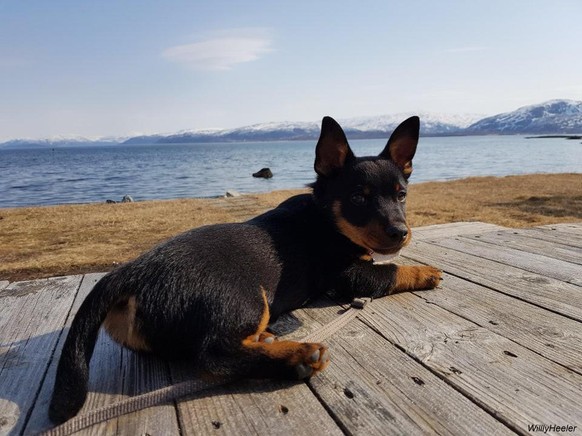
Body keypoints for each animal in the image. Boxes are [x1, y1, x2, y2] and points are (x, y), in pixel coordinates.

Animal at [49, 115, 442, 422]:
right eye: (358, 198)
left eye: (402, 195)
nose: (400, 232)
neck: (327, 218)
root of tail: (129, 274)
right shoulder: (347, 276)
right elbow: (392, 270)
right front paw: (427, 272)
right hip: (248, 297)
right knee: (214, 357)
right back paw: (298, 356)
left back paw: (268, 340)